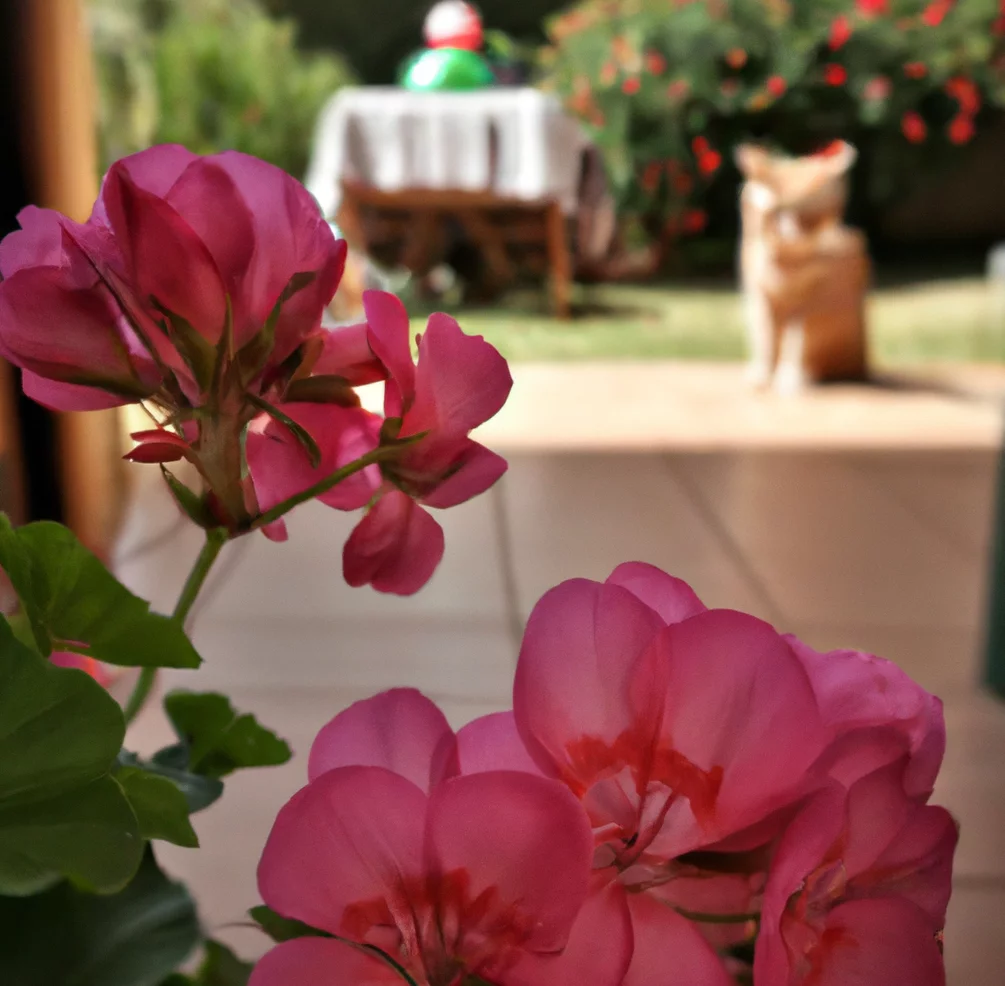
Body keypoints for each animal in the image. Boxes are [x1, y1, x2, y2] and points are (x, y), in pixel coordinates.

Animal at [735, 141, 868, 391]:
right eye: (775, 212)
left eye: (807, 215)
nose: (790, 234)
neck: (786, 264)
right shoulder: (758, 294)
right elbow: (764, 336)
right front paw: (762, 374)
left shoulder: (812, 302)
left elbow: (796, 342)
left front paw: (790, 379)